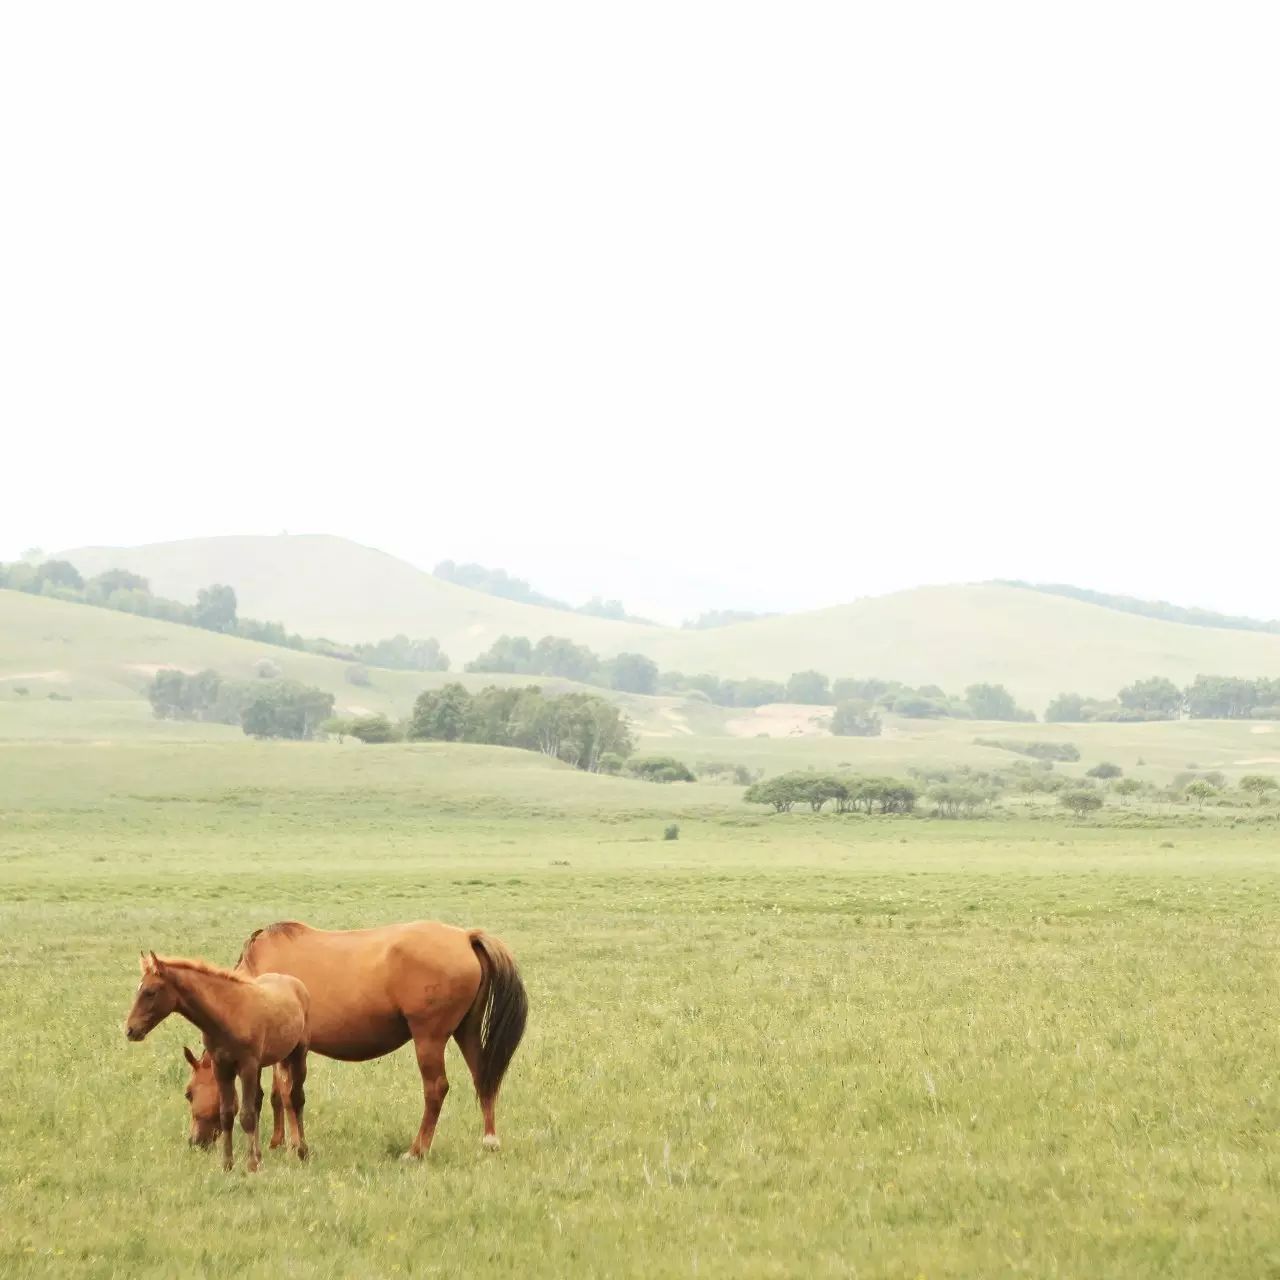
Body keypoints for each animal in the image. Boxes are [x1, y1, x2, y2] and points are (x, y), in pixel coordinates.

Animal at [124, 952, 312, 1172]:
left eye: (150, 992)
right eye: (188, 1094)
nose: (130, 1030)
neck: (227, 1013)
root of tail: (294, 982)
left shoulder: (246, 1066)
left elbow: (247, 1116)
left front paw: (252, 1166)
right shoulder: (221, 1067)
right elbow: (227, 1114)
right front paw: (228, 1164)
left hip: (297, 1054)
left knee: (296, 1098)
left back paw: (302, 1151)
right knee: (261, 1100)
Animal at [188, 921, 524, 1162]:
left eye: (189, 1093)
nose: (194, 1141)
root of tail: (466, 937)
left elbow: (285, 1095)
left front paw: (294, 1145)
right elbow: (275, 1096)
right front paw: (278, 1142)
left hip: (429, 1038)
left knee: (436, 1090)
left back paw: (416, 1150)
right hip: (466, 1032)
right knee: (484, 1078)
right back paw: (489, 1140)